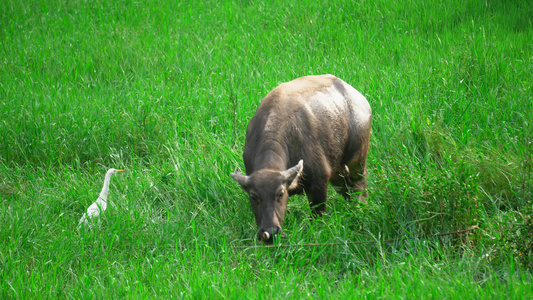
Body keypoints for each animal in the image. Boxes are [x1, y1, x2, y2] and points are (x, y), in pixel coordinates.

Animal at [231, 74, 372, 243]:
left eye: (280, 193)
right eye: (253, 196)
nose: (270, 232)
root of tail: (358, 97)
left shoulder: (318, 182)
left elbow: (318, 212)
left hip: (357, 157)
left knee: (359, 181)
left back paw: (360, 206)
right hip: (336, 167)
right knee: (344, 183)